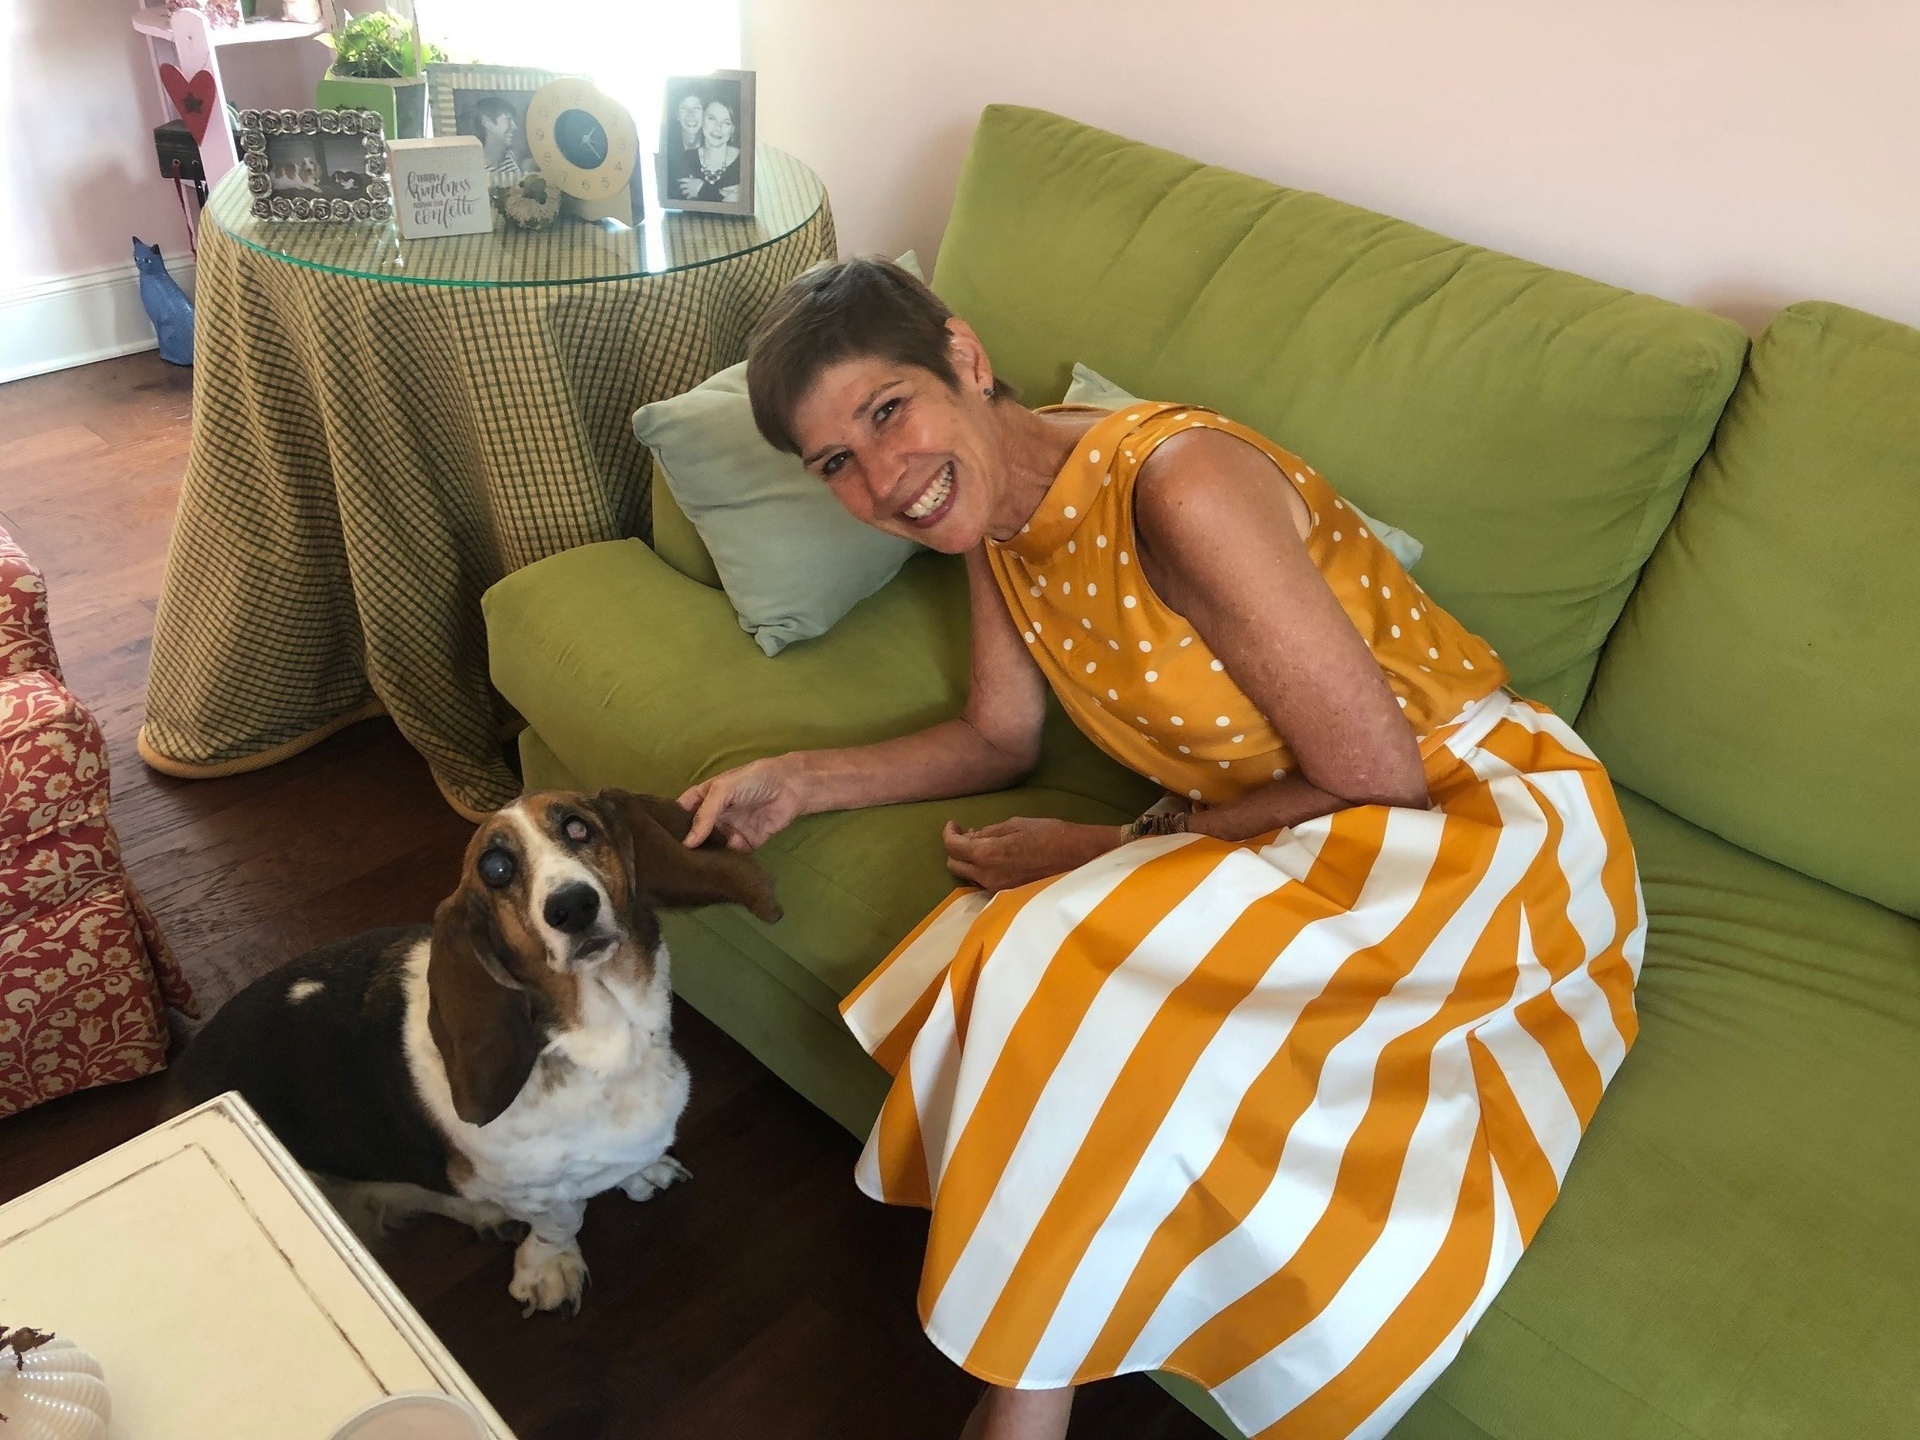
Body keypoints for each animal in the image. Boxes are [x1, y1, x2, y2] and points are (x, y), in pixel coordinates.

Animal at [168, 789, 780, 1316]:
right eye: (496, 869)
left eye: (578, 827)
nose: (573, 907)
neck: (603, 1047)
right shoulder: (529, 1188)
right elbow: (564, 1216)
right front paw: (549, 1268)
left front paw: (642, 1173)